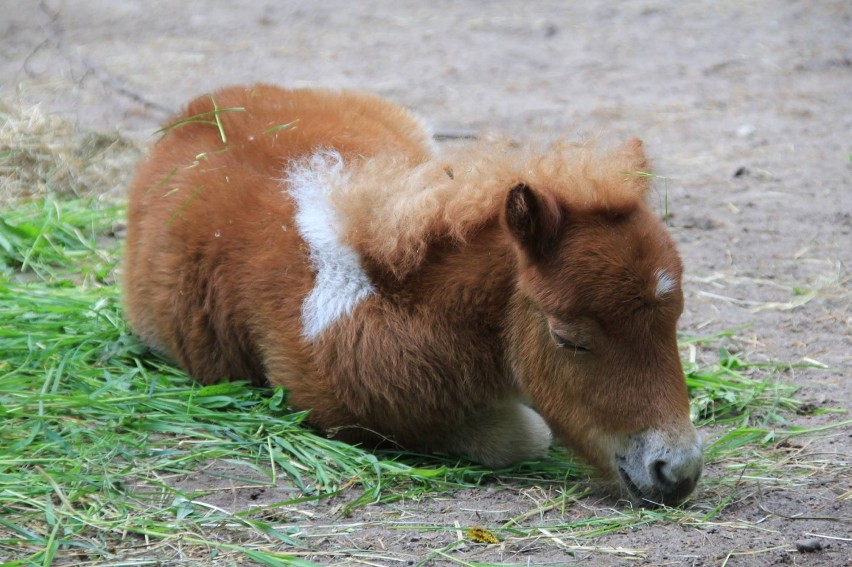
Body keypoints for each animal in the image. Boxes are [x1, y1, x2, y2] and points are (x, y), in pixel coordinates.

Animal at [123, 84, 704, 506]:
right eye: (570, 339)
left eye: (674, 322)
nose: (677, 472)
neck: (385, 302)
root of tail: (202, 105)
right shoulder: (339, 412)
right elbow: (527, 434)